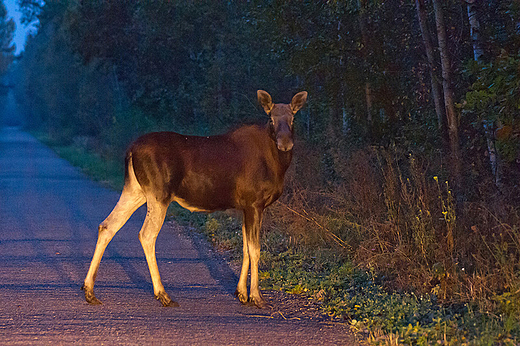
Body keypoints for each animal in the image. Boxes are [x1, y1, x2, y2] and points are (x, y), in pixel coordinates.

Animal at [83, 90, 306, 308]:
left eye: (293, 118)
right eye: (271, 119)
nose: (285, 143)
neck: (277, 164)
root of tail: (130, 151)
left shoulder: (246, 207)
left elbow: (244, 248)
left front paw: (242, 294)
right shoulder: (255, 203)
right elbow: (255, 249)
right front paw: (256, 297)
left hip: (134, 191)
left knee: (107, 225)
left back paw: (89, 291)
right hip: (158, 194)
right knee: (146, 235)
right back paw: (162, 294)